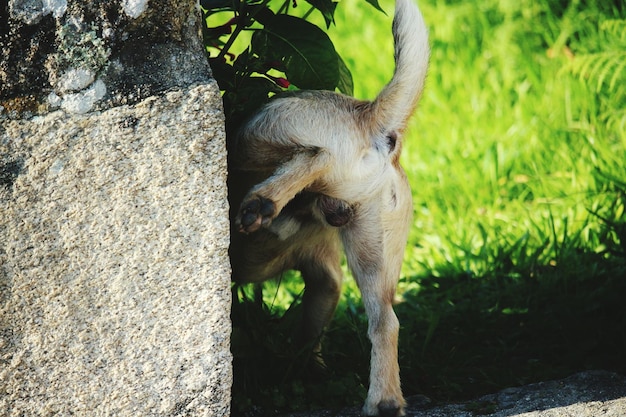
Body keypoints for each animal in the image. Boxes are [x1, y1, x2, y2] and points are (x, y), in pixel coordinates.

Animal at [229, 0, 428, 412]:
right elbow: (310, 337)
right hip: (372, 252)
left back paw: (263, 202)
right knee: (385, 321)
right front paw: (312, 374)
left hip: (255, 133)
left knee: (315, 155)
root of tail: (367, 114)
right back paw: (384, 402)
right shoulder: (326, 282)